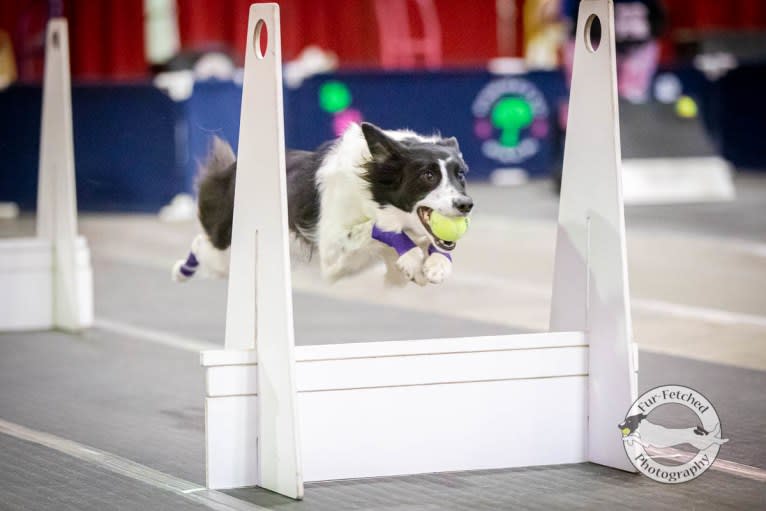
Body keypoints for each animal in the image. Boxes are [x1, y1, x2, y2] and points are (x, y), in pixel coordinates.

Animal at [174, 122, 474, 286]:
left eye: (461, 174)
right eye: (428, 176)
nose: (466, 205)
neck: (373, 188)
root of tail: (231, 170)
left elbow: (431, 245)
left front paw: (437, 264)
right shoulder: (332, 253)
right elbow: (375, 229)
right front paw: (411, 258)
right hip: (229, 250)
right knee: (203, 244)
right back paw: (182, 270)